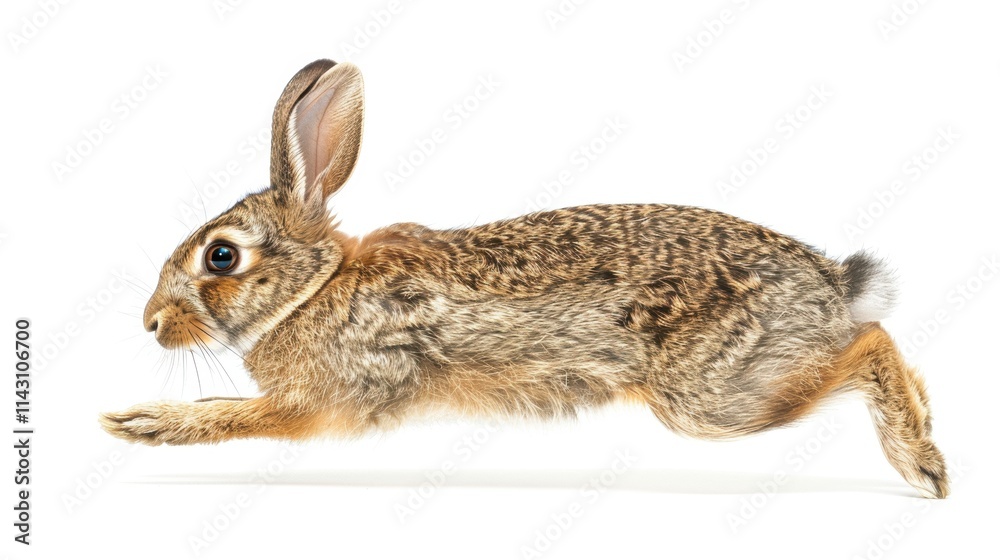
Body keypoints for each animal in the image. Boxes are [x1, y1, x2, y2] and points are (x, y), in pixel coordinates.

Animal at [100, 59, 949, 499]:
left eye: (221, 257)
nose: (150, 323)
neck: (311, 290)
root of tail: (833, 285)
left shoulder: (334, 399)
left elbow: (240, 416)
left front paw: (143, 424)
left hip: (713, 397)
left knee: (869, 343)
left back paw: (921, 462)